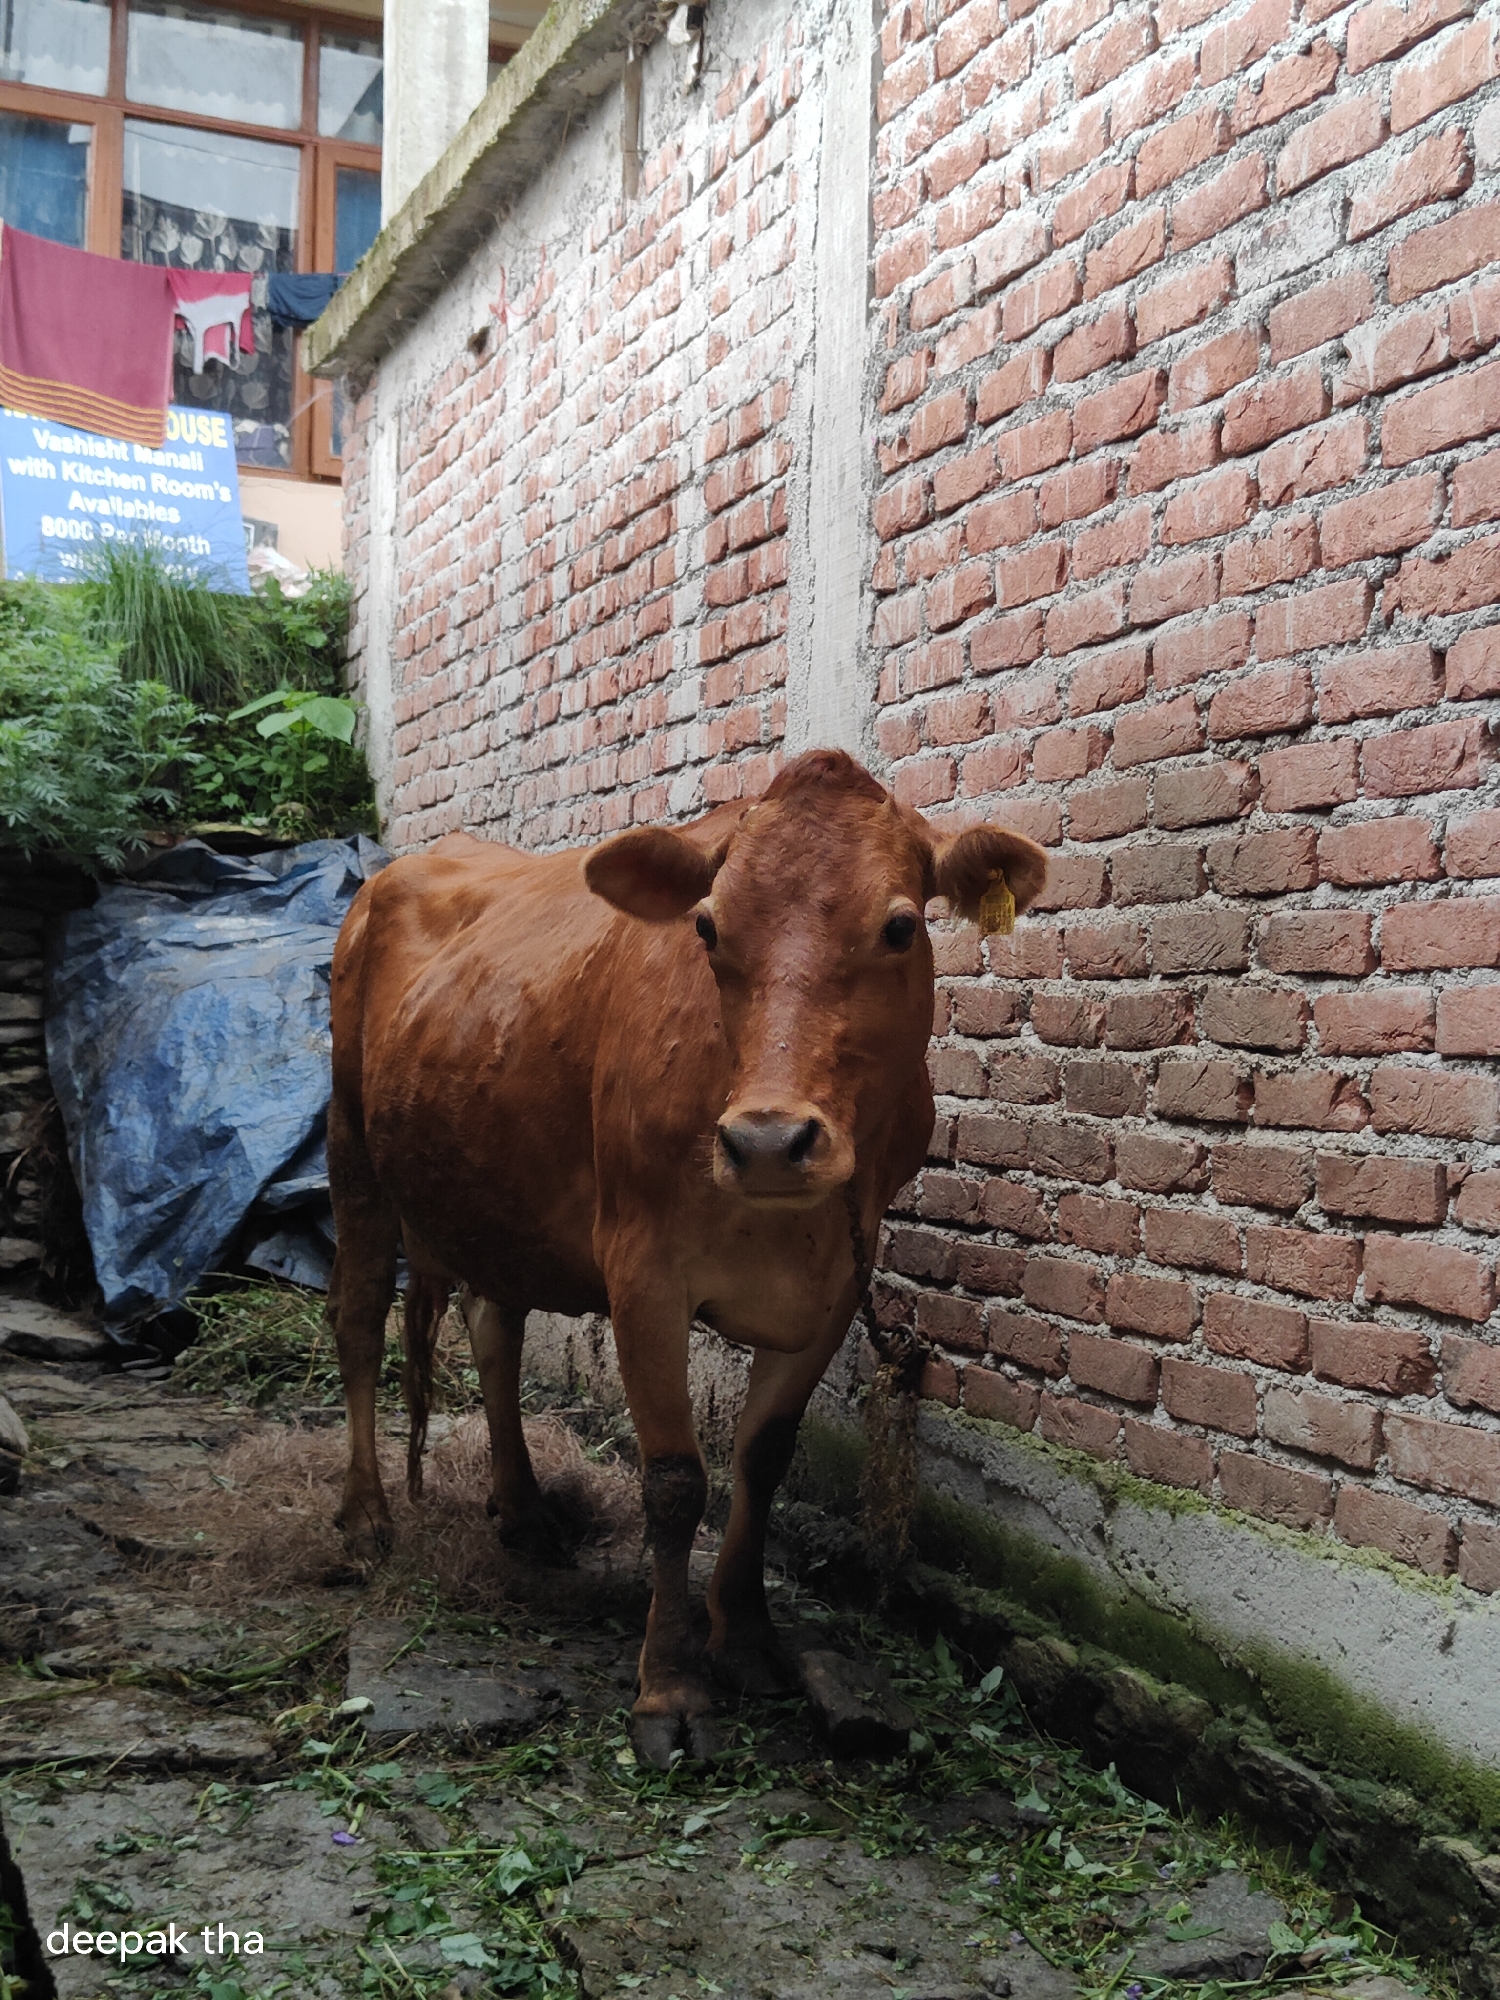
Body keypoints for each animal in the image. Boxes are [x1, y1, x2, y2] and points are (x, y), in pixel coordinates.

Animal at [326, 748, 1046, 1764]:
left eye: (901, 925)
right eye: (706, 926)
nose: (769, 1142)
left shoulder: (836, 1287)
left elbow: (762, 1460)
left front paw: (743, 1638)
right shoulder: (644, 1275)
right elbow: (674, 1483)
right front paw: (670, 1687)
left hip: (493, 1191)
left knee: (493, 1324)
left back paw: (523, 1509)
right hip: (353, 1149)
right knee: (356, 1320)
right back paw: (365, 1522)